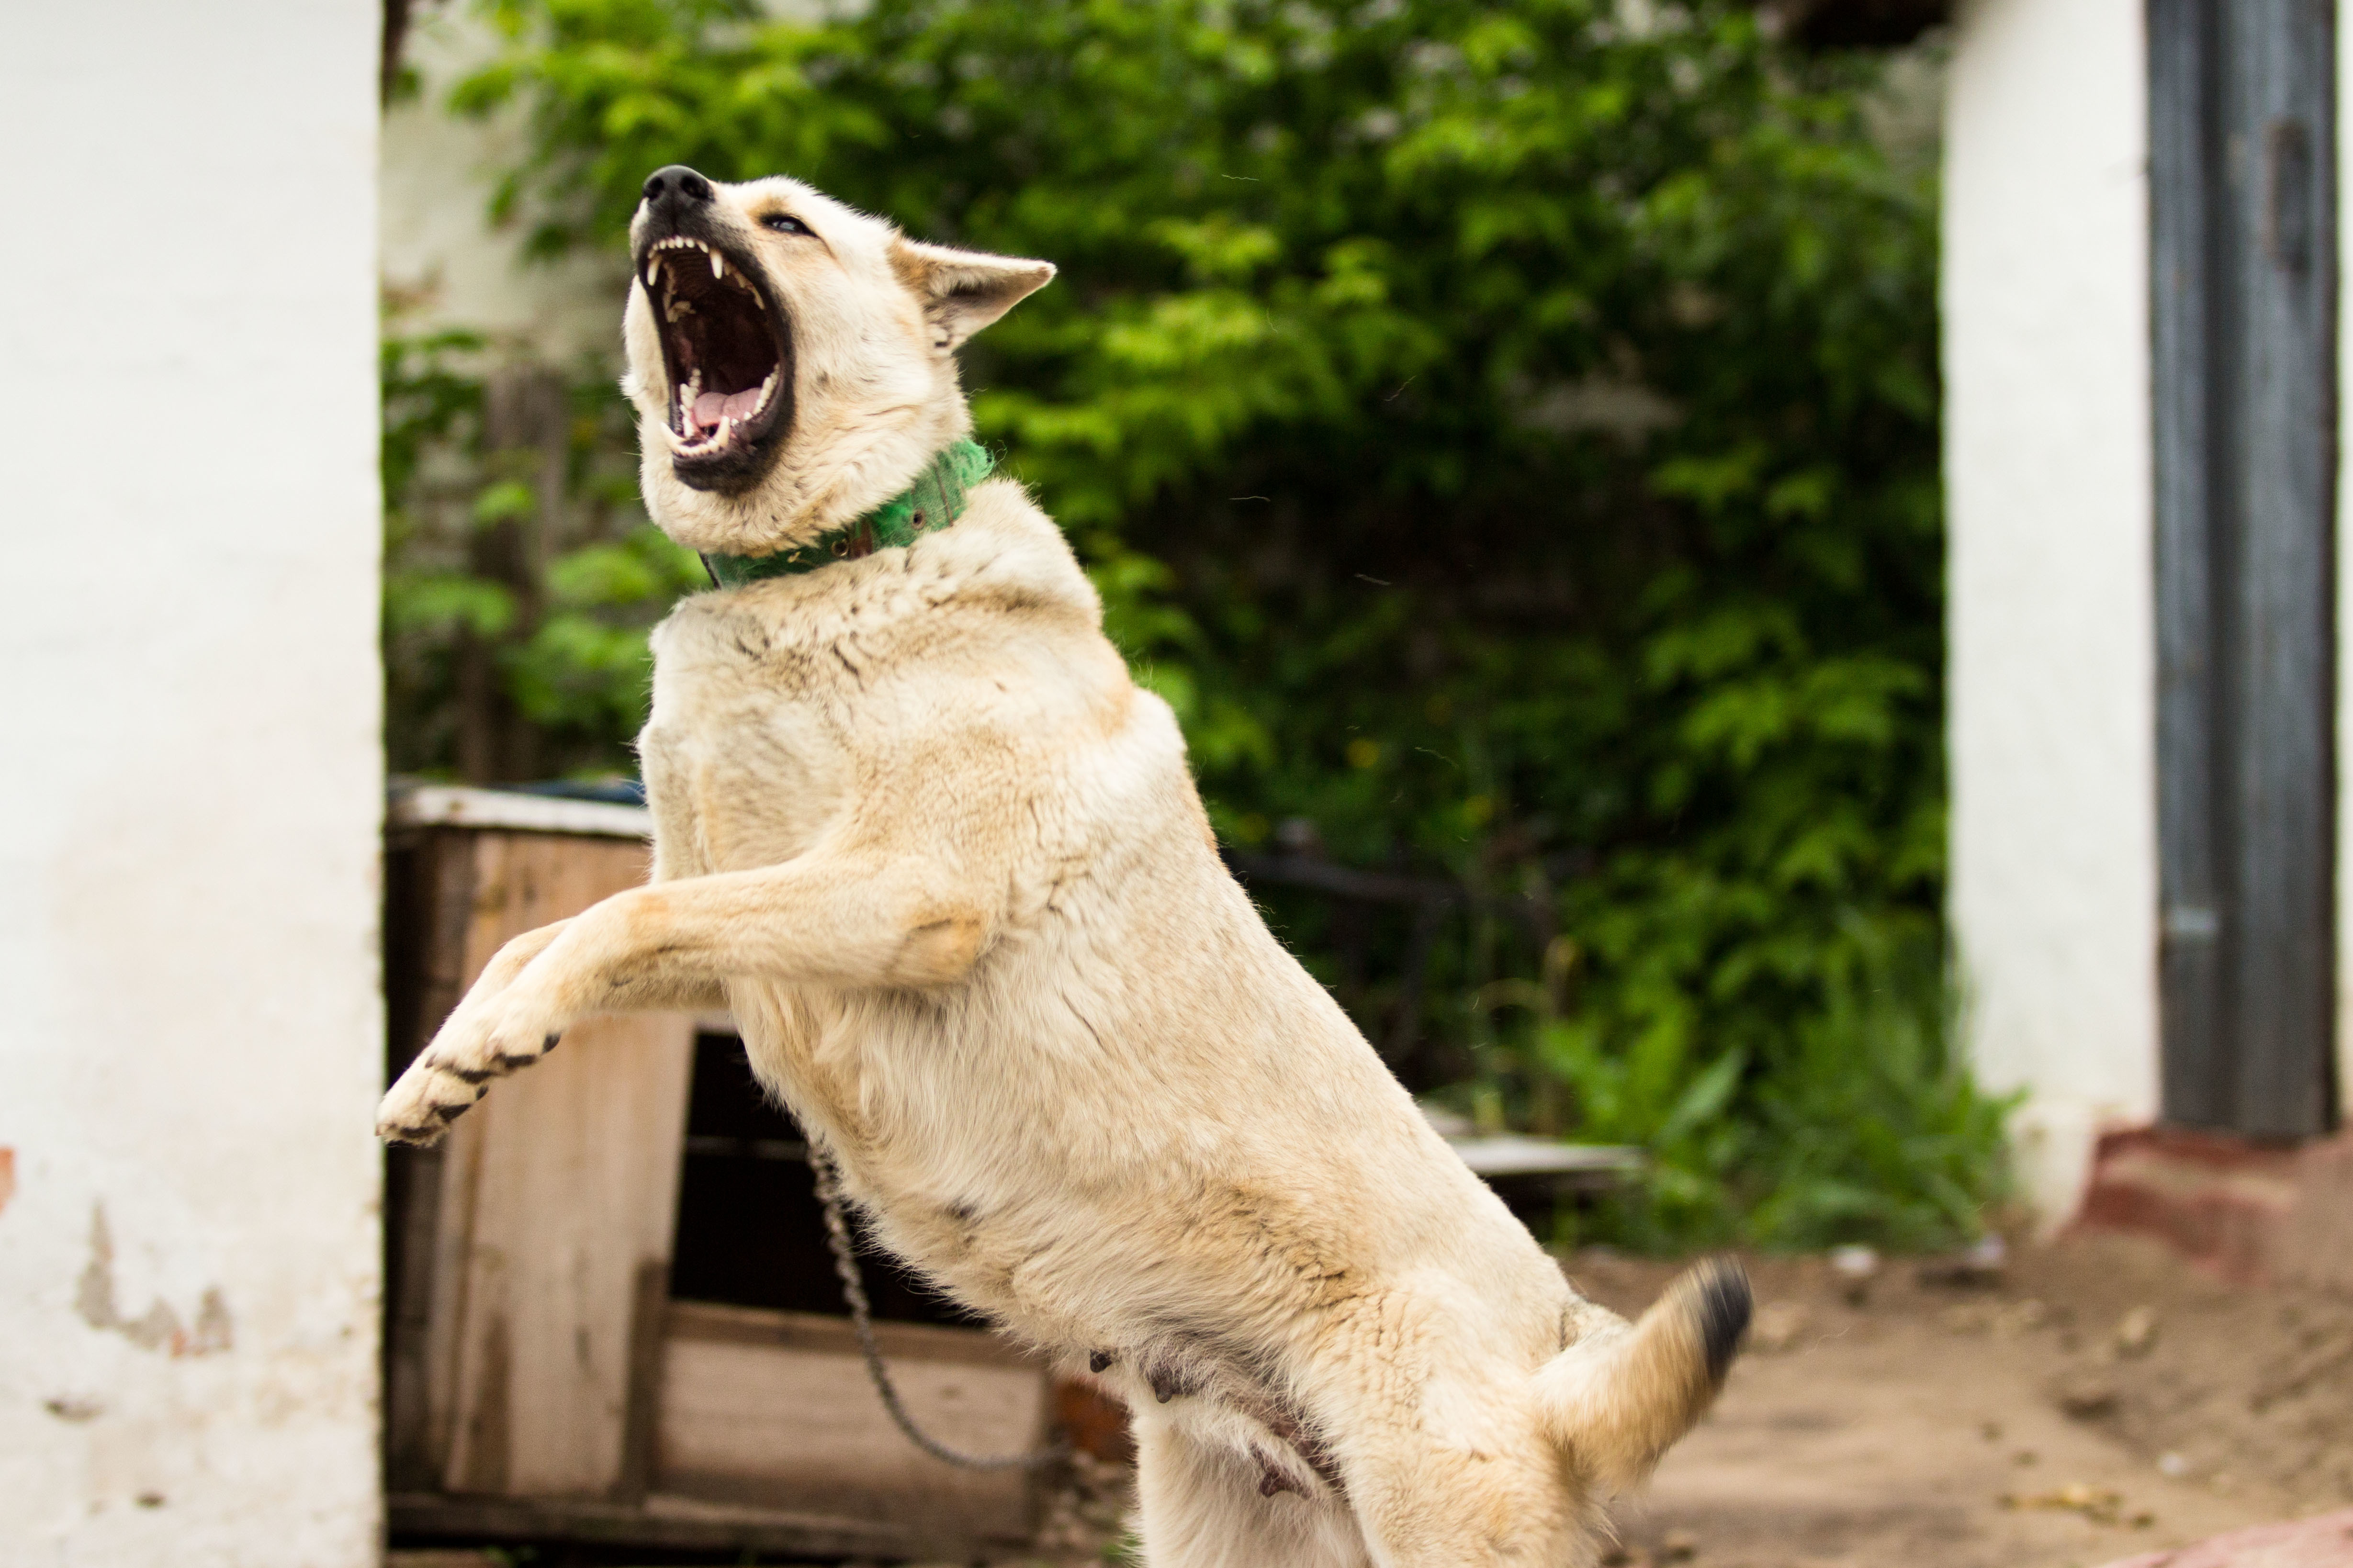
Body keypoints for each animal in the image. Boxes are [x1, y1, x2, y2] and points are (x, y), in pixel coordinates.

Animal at [381, 166, 1750, 1561]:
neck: (828, 566)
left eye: (787, 224)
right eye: (702, 197)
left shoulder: (896, 894)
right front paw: (448, 1064)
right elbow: (548, 934)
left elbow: (617, 919)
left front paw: (492, 1039)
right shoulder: (736, 926)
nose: (670, 188)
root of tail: (1564, 1346)